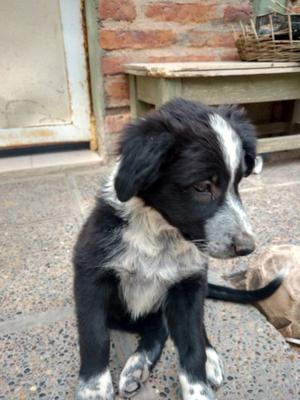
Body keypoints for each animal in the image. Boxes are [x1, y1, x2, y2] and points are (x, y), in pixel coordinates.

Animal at [74, 99, 282, 400]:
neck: (160, 235)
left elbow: (192, 345)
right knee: (156, 330)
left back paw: (206, 360)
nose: (247, 248)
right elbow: (94, 338)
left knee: (181, 328)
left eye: (238, 183)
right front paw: (93, 389)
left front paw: (198, 389)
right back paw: (137, 367)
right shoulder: (90, 277)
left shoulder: (187, 287)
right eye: (202, 187)